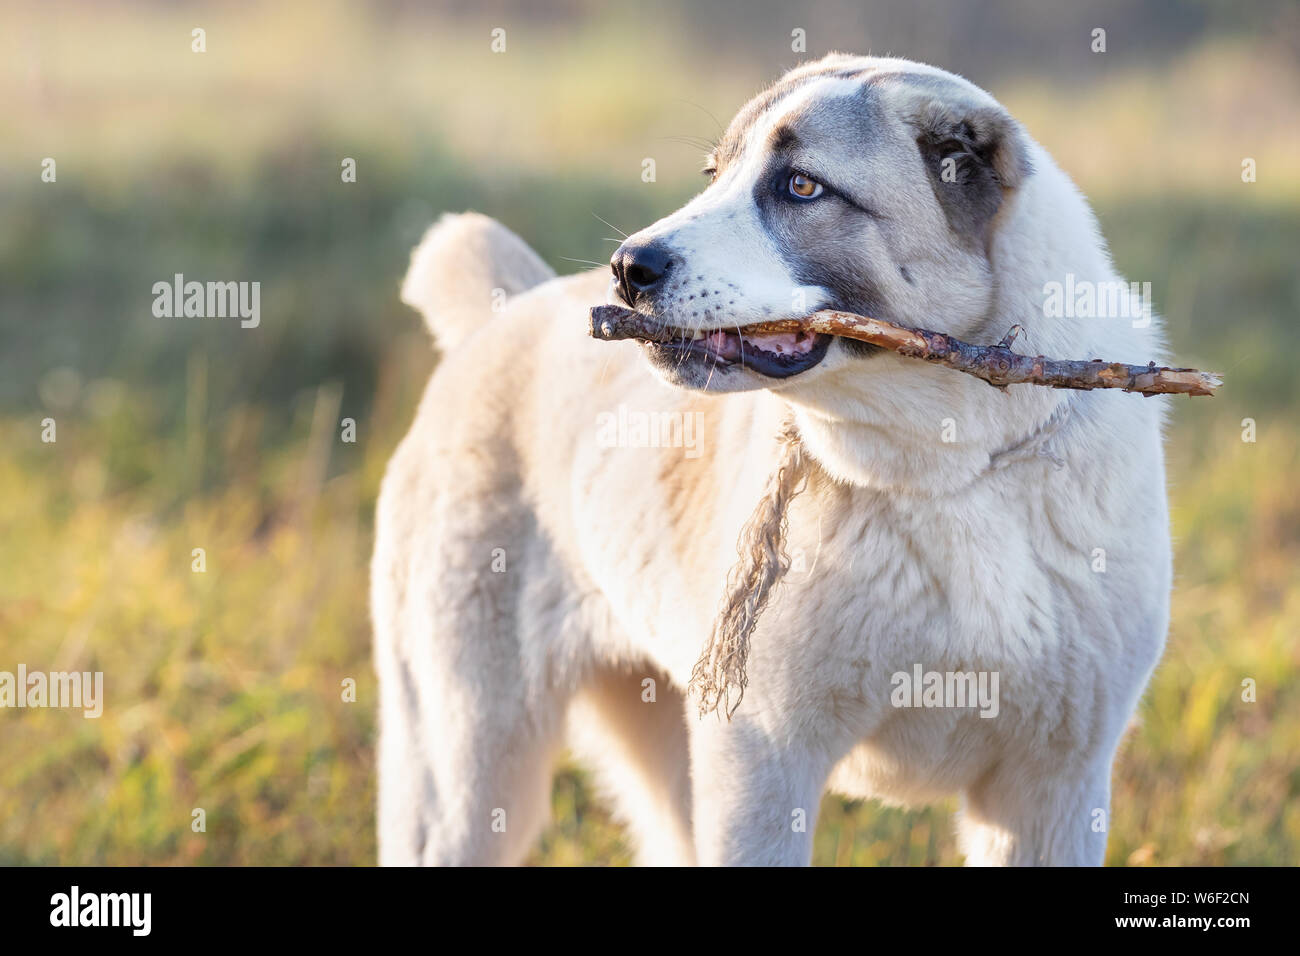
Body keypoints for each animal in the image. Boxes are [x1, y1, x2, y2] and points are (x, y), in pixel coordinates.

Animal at [371, 52, 1175, 868]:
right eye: (713, 173)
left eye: (802, 187)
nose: (627, 267)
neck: (949, 469)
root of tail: (505, 315)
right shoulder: (760, 766)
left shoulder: (1050, 790)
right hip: (465, 771)